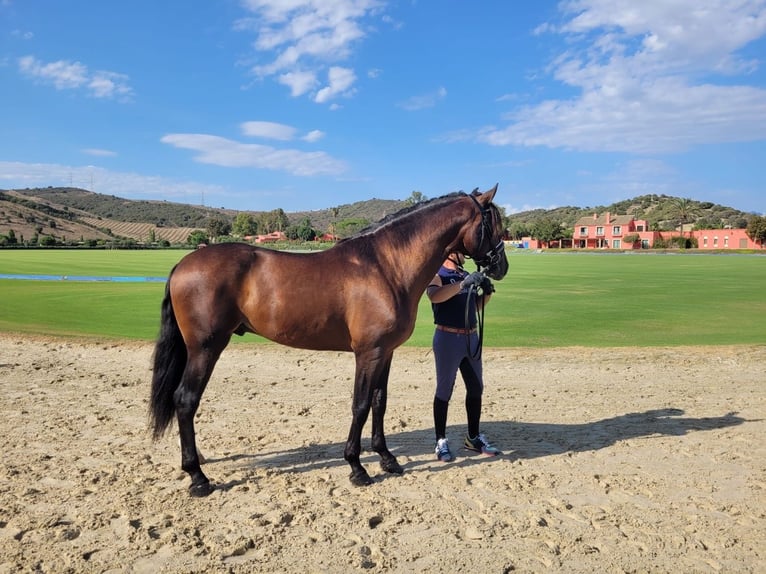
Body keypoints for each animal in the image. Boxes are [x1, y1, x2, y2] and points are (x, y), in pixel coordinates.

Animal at [150, 186, 510, 500]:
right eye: (494, 224)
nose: (501, 267)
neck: (386, 266)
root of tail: (183, 264)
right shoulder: (368, 353)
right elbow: (360, 405)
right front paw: (357, 468)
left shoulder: (386, 353)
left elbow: (379, 402)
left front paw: (387, 459)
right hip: (205, 348)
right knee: (186, 400)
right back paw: (198, 477)